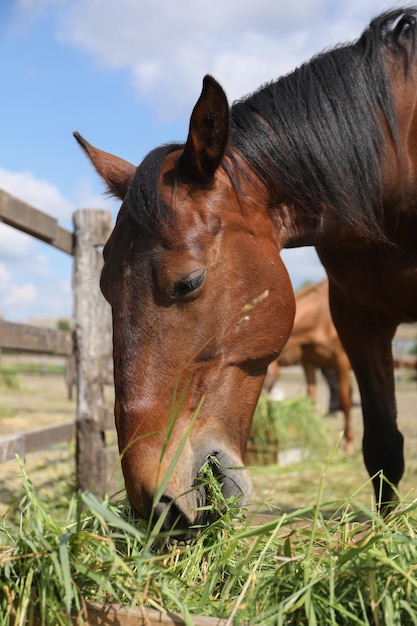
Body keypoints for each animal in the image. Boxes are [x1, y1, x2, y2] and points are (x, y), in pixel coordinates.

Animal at [264, 278, 352, 448]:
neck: (322, 319)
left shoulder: (342, 361)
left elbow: (345, 401)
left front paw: (348, 446)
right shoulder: (309, 364)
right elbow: (311, 399)